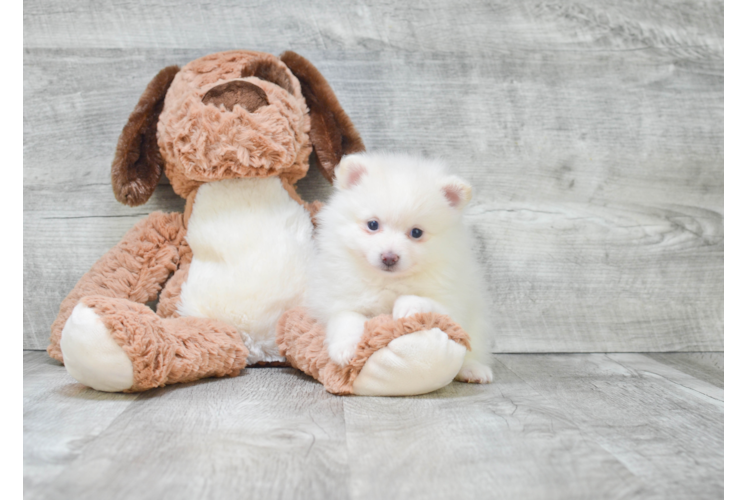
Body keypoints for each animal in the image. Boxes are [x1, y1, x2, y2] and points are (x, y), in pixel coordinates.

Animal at [306, 152, 494, 382]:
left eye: (416, 232)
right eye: (373, 225)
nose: (389, 257)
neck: (387, 281)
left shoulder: (451, 301)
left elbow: (425, 301)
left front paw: (407, 307)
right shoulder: (337, 298)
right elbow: (346, 317)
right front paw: (345, 348)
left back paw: (473, 369)